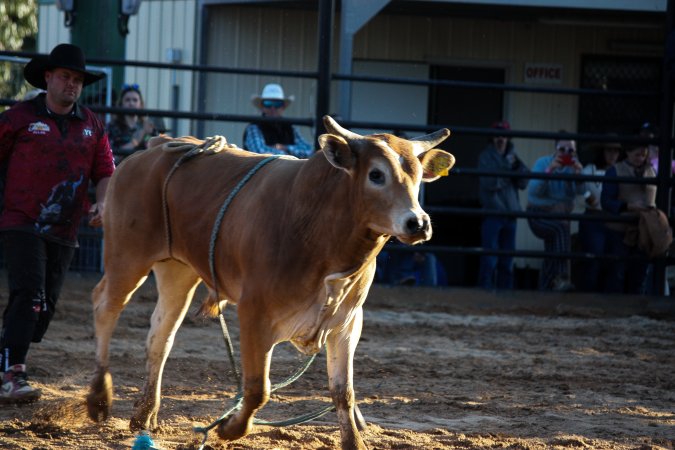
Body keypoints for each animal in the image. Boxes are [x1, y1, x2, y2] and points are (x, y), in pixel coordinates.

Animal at [85, 116, 454, 449]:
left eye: (418, 176)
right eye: (376, 174)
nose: (418, 223)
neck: (319, 226)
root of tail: (155, 146)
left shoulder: (347, 322)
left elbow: (343, 391)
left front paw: (354, 442)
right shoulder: (255, 313)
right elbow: (257, 388)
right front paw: (229, 428)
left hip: (178, 270)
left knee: (160, 336)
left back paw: (144, 414)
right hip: (127, 256)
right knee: (105, 307)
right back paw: (99, 398)